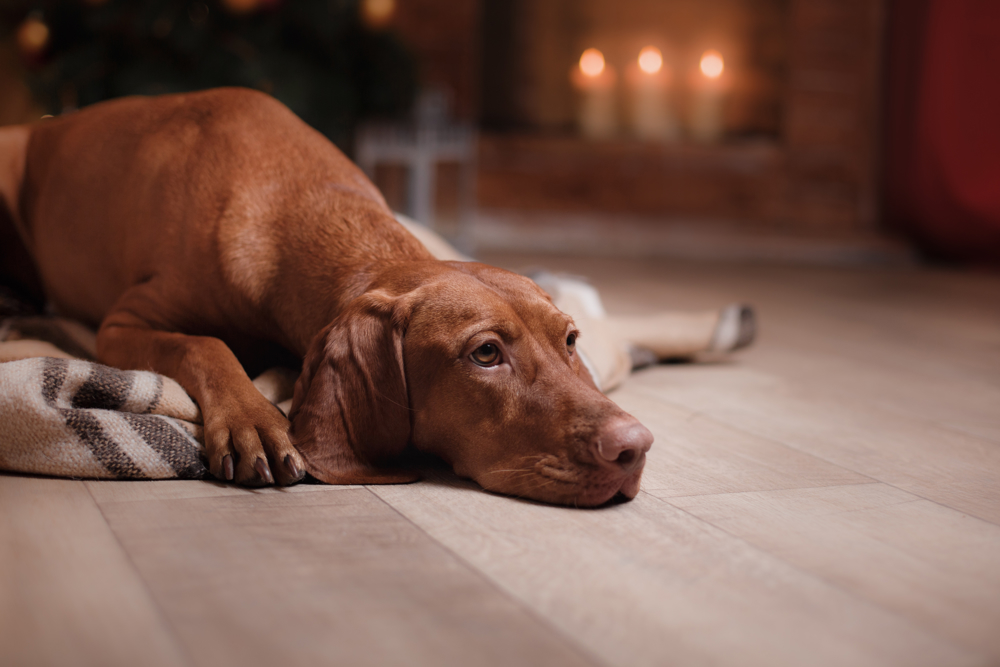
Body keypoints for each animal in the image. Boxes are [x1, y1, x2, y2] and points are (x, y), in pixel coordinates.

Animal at [0, 87, 652, 506]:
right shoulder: (123, 323)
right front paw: (254, 418)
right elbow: (205, 343)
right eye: (485, 354)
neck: (296, 202)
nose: (635, 447)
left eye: (570, 340)